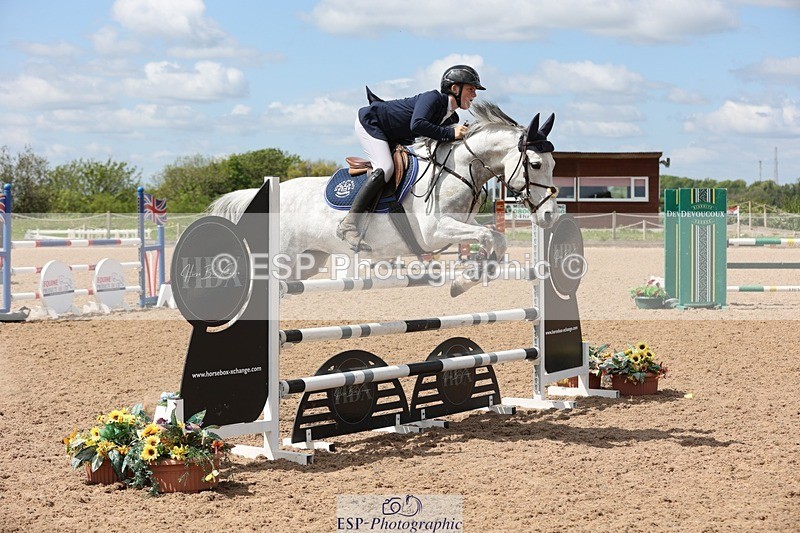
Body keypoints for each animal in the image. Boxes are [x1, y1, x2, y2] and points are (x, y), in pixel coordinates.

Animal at [208, 101, 559, 297]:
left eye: (554, 164)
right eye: (535, 164)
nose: (550, 216)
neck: (456, 168)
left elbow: (496, 239)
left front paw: (467, 279)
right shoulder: (433, 233)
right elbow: (489, 236)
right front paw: (465, 280)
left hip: (306, 263)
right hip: (280, 259)